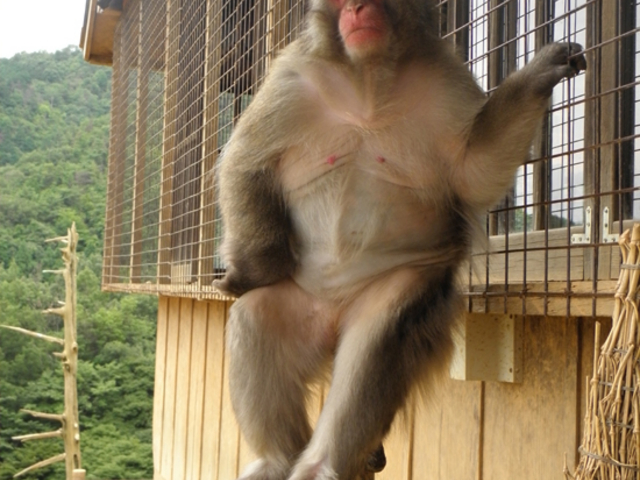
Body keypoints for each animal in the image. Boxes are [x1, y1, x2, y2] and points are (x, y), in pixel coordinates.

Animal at [212, 0, 586, 479]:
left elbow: (474, 169)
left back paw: (321, 463)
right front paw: (256, 268)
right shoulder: (292, 77)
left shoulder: (444, 76)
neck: (368, 86)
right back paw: (278, 459)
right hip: (306, 309)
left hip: (394, 294)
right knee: (258, 317)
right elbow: (246, 165)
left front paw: (539, 75)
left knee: (377, 343)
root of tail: (333, 321)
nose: (357, 8)